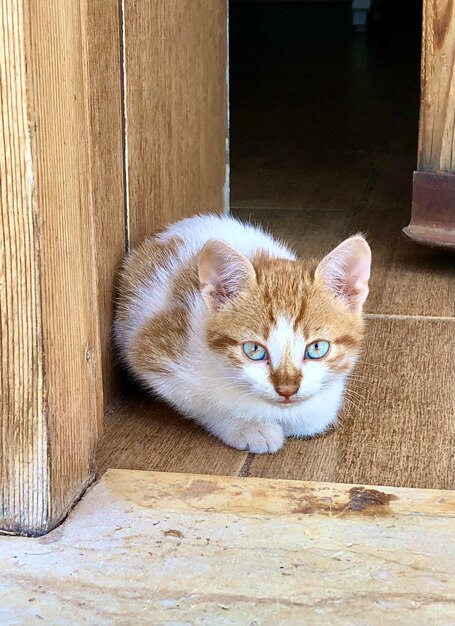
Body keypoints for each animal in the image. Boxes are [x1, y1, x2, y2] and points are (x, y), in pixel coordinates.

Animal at [115, 212, 370, 450]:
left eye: (317, 348)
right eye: (254, 350)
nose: (287, 390)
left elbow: (315, 416)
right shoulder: (154, 352)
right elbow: (203, 403)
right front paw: (248, 427)